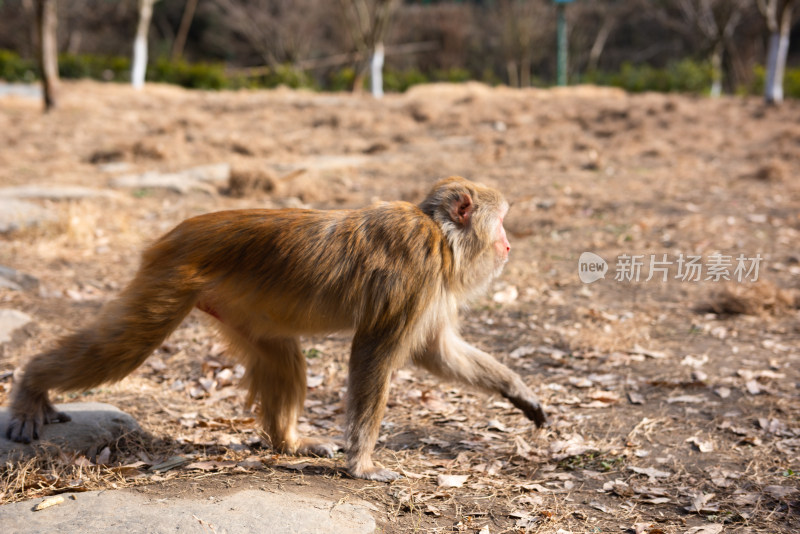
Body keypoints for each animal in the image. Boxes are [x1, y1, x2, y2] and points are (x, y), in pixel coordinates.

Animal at [6, 178, 544, 484]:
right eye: (502, 221)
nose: (509, 245)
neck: (440, 234)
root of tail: (171, 234)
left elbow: (435, 351)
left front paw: (518, 390)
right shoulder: (415, 270)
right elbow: (373, 352)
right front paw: (362, 466)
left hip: (238, 305)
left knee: (281, 356)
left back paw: (288, 443)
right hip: (168, 282)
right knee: (124, 346)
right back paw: (31, 386)